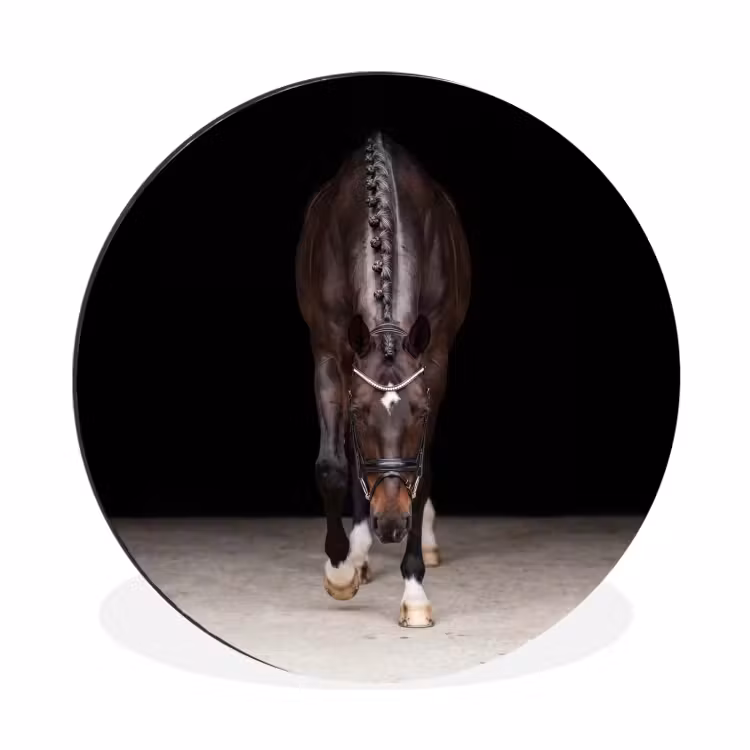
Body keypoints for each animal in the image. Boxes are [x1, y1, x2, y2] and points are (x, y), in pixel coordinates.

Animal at [295, 131, 471, 627]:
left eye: (421, 412)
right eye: (358, 413)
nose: (391, 523)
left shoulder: (435, 361)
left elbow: (421, 474)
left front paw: (414, 592)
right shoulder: (329, 354)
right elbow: (333, 466)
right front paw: (340, 570)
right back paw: (358, 553)